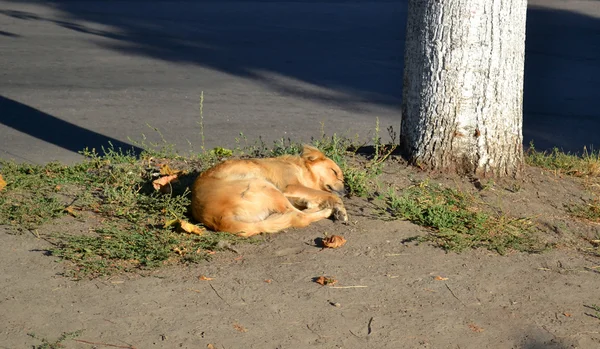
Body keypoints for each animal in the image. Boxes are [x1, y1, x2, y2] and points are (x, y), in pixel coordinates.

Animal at [190, 144, 350, 237]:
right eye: (335, 172)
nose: (345, 192)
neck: (300, 167)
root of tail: (219, 220)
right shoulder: (290, 187)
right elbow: (326, 195)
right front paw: (339, 207)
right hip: (264, 185)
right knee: (299, 217)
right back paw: (326, 211)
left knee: (295, 214)